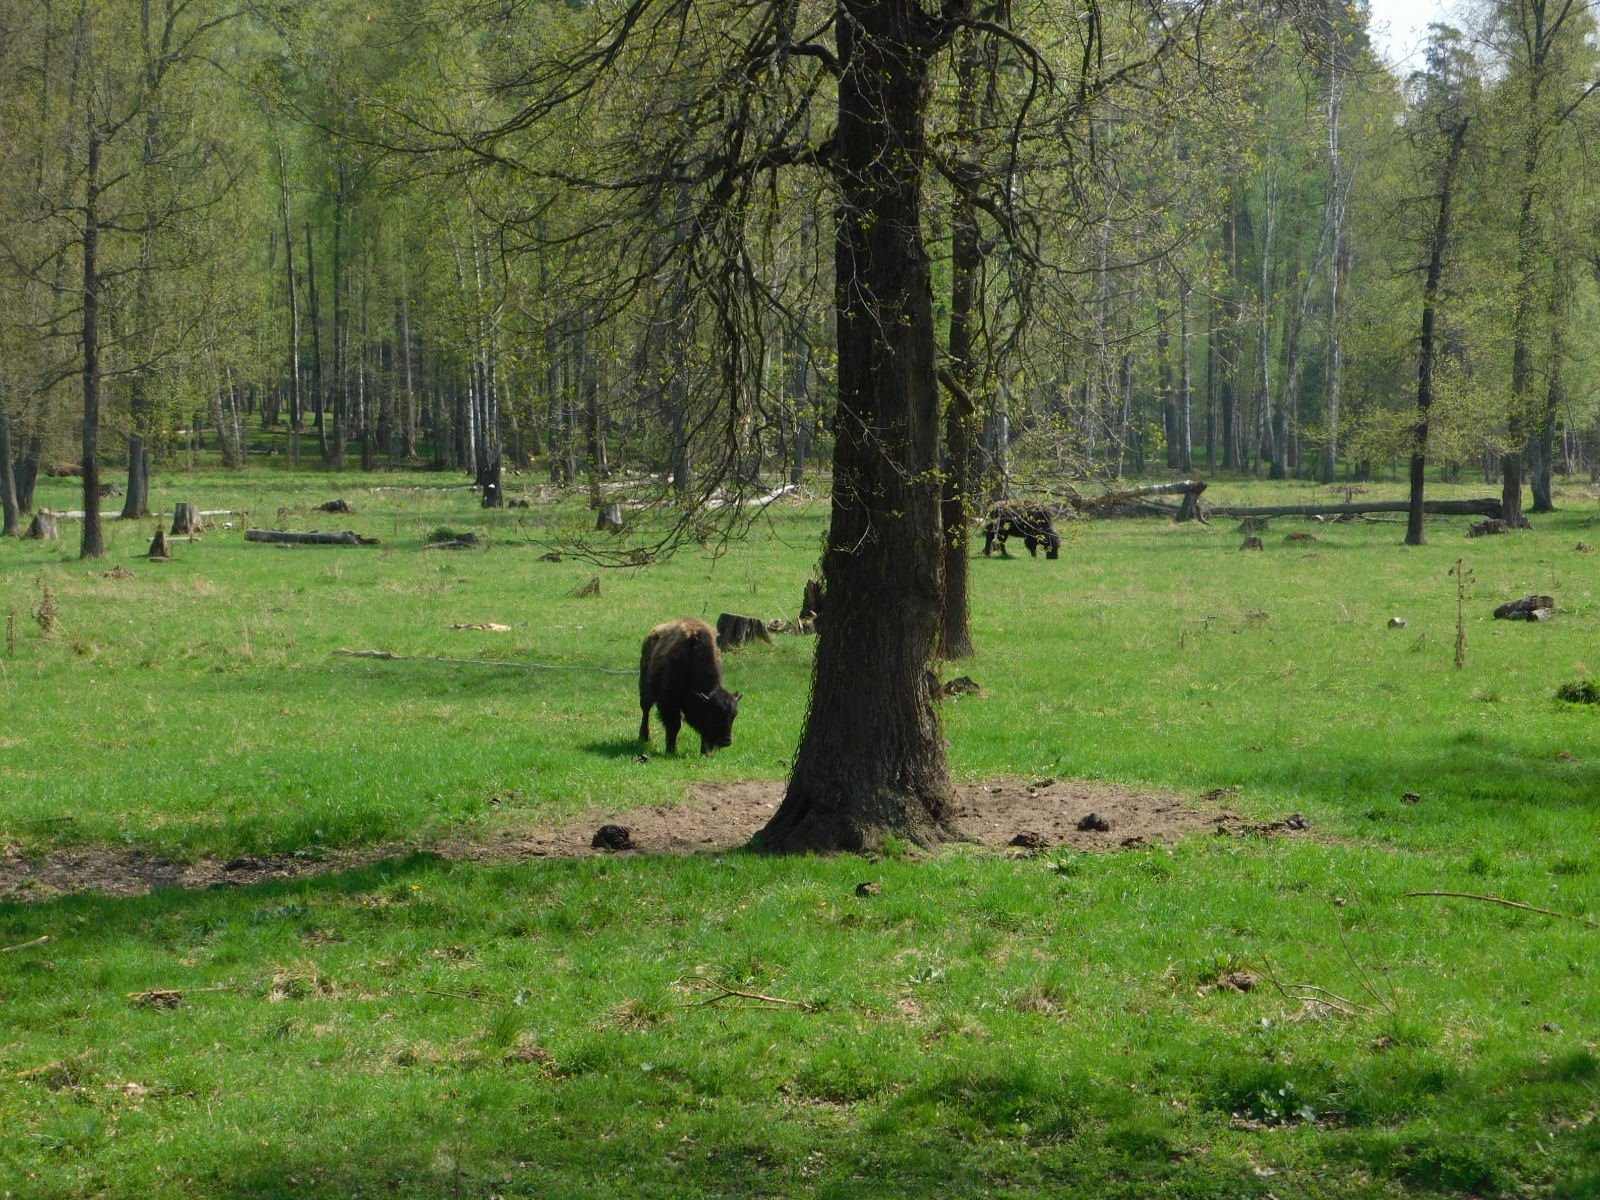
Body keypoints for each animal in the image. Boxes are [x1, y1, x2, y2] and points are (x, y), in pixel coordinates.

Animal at [633, 614, 739, 755]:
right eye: (713, 713)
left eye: (734, 715)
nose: (726, 741)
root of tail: (652, 635)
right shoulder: (669, 702)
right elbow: (674, 725)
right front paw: (671, 749)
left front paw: (706, 752)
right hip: (645, 691)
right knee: (646, 711)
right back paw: (644, 737)